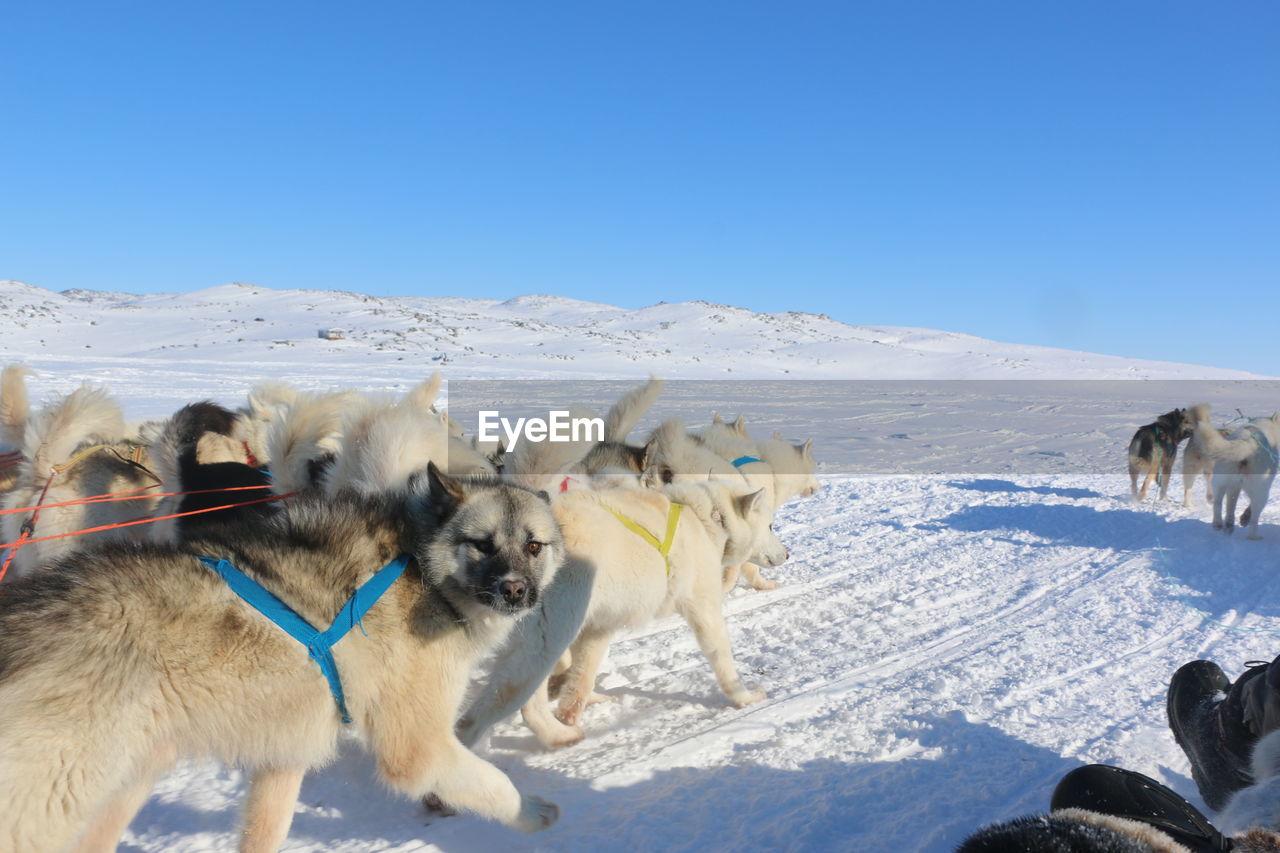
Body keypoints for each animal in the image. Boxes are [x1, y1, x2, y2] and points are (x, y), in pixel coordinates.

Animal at [0, 461, 560, 845]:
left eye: (534, 546)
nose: (515, 590)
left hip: (124, 787)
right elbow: (491, 783)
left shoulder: (285, 755)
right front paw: (533, 811)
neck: (421, 566)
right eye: (482, 544)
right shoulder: (417, 747)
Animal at [455, 473, 783, 747]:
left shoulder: (599, 627)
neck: (706, 519)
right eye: (770, 526)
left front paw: (570, 706)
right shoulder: (704, 608)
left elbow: (581, 677)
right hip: (547, 641)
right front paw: (744, 697)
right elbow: (723, 658)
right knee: (505, 711)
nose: (787, 553)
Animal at [1187, 404, 1280, 537]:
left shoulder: (1234, 487)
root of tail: (1247, 443)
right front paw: (1244, 518)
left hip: (1219, 482)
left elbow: (1230, 505)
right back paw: (1254, 536)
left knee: (1218, 504)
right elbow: (1248, 508)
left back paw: (1221, 525)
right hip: (1261, 492)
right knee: (1254, 517)